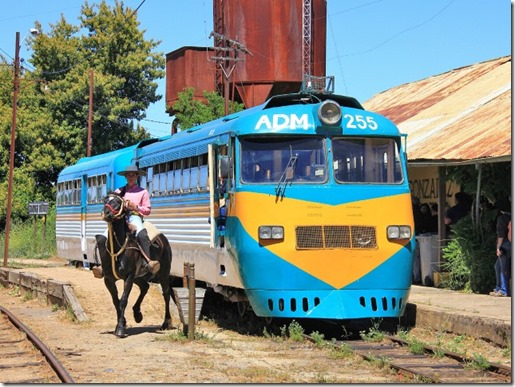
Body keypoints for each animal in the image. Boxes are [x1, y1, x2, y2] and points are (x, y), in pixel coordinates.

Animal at [93, 192, 173, 338]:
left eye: (118, 202)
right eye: (105, 200)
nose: (106, 213)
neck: (117, 248)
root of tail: (163, 239)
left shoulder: (129, 276)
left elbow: (123, 300)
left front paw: (120, 328)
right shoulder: (108, 279)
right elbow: (116, 301)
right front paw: (122, 323)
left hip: (163, 273)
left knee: (166, 293)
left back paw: (166, 323)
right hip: (139, 276)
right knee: (145, 287)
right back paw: (137, 314)